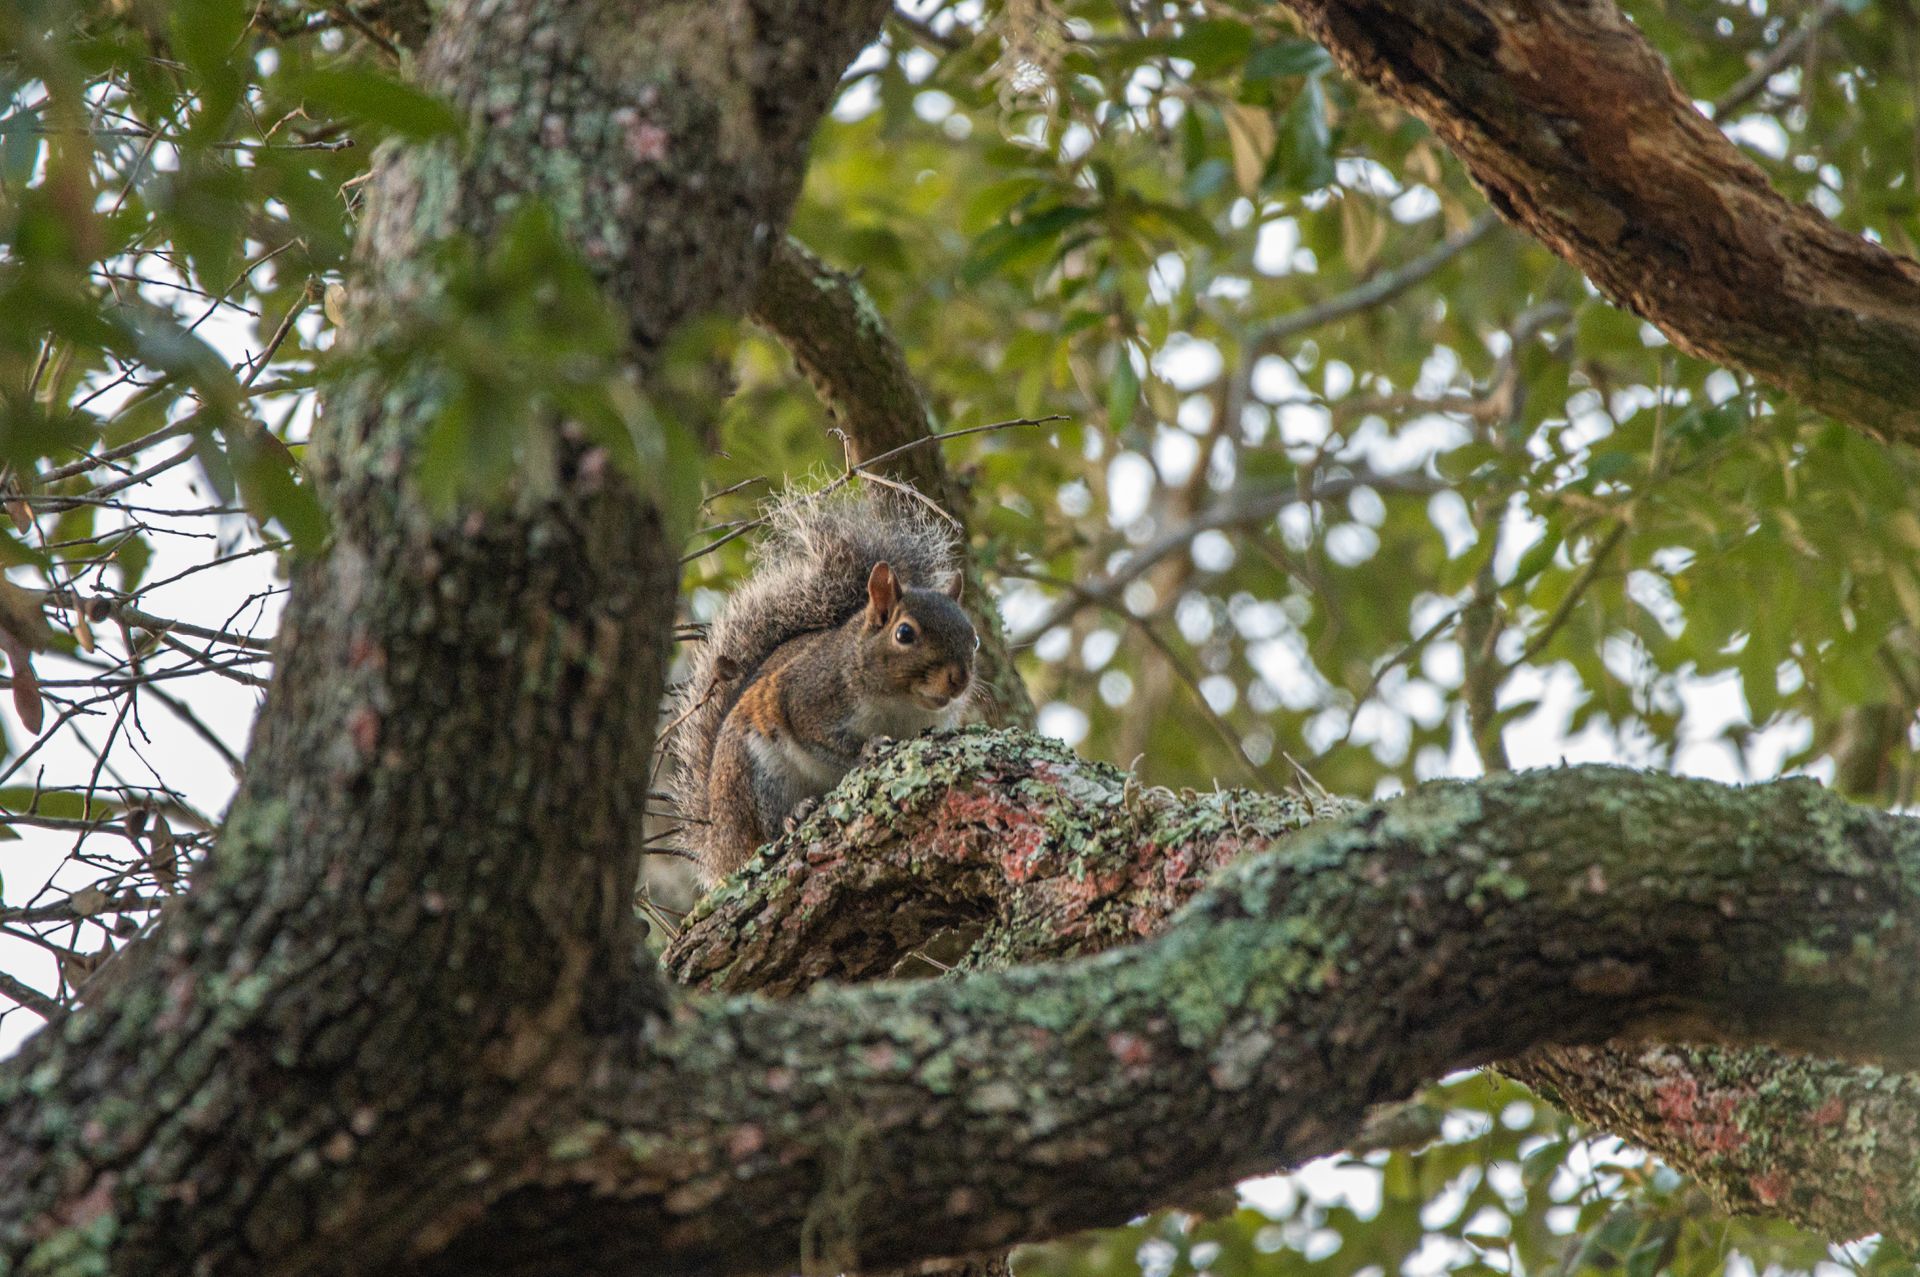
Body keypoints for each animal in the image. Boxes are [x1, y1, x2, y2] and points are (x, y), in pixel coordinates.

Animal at [667, 488, 979, 881]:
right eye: (905, 634)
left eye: (975, 639)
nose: (959, 679)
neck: (901, 704)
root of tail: (719, 845)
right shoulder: (807, 696)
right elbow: (823, 739)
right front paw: (868, 747)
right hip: (755, 771)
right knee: (764, 827)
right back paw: (792, 816)